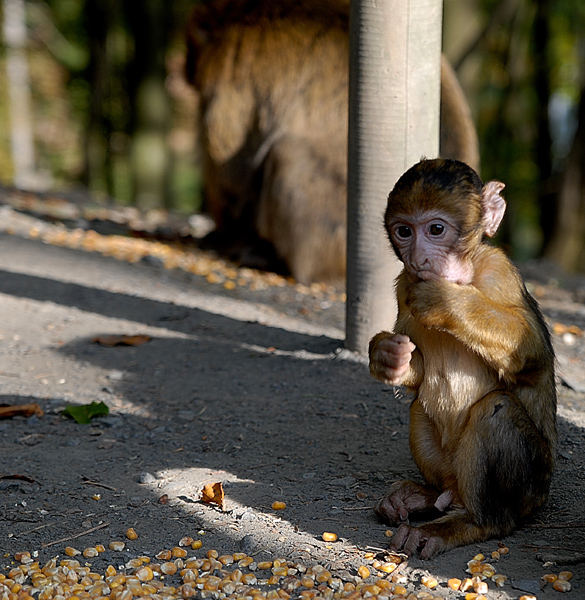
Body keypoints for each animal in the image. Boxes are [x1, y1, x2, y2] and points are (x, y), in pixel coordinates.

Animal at [370, 158, 556, 556]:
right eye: (404, 231)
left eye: (436, 229)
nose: (418, 258)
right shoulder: (403, 284)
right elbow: (416, 368)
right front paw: (387, 356)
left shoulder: (498, 271)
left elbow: (531, 350)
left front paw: (445, 300)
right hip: (448, 468)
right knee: (420, 409)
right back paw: (422, 497)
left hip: (533, 487)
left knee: (496, 410)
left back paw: (471, 522)